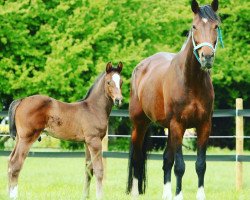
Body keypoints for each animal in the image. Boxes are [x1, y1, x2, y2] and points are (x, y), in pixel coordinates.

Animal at [8, 61, 123, 199]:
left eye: (121, 82)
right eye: (108, 82)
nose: (119, 100)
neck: (93, 108)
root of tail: (22, 100)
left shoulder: (87, 142)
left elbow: (88, 169)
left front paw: (85, 196)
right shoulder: (94, 141)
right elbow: (99, 170)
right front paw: (100, 196)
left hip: (19, 138)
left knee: (10, 163)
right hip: (27, 138)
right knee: (15, 164)